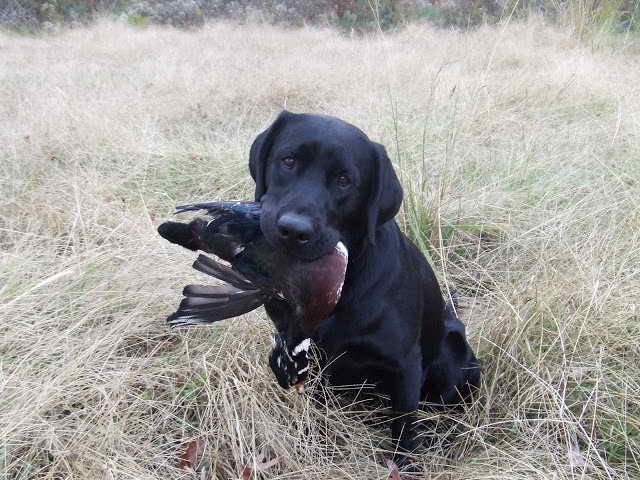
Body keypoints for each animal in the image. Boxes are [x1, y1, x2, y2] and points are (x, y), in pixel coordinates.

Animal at [250, 111, 480, 458]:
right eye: (288, 160)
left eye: (344, 180)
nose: (293, 230)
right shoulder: (306, 354)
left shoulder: (405, 364)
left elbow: (404, 426)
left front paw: (407, 462)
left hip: (452, 357)